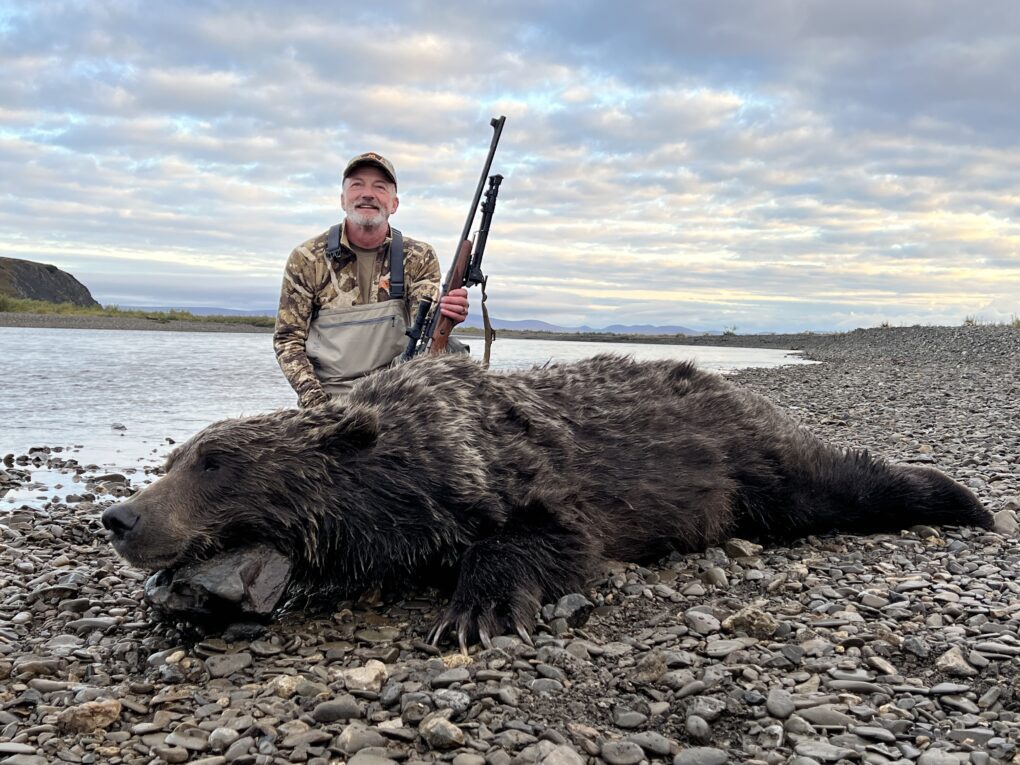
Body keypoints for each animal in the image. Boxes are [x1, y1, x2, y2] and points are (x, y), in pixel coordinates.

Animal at [101, 352, 987, 648]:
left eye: (215, 461)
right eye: (173, 457)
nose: (118, 516)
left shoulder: (516, 476)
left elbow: (547, 534)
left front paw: (477, 609)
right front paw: (196, 597)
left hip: (750, 455)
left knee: (830, 481)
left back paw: (959, 496)